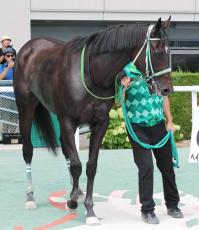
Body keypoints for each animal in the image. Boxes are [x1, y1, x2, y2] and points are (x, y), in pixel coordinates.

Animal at [13, 17, 173, 225]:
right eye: (156, 50)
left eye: (170, 49)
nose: (167, 89)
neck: (92, 74)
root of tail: (30, 46)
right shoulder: (68, 120)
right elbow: (76, 165)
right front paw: (72, 202)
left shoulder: (100, 123)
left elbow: (90, 166)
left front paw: (89, 209)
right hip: (26, 108)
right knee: (28, 150)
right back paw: (30, 197)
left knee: (65, 150)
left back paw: (76, 190)